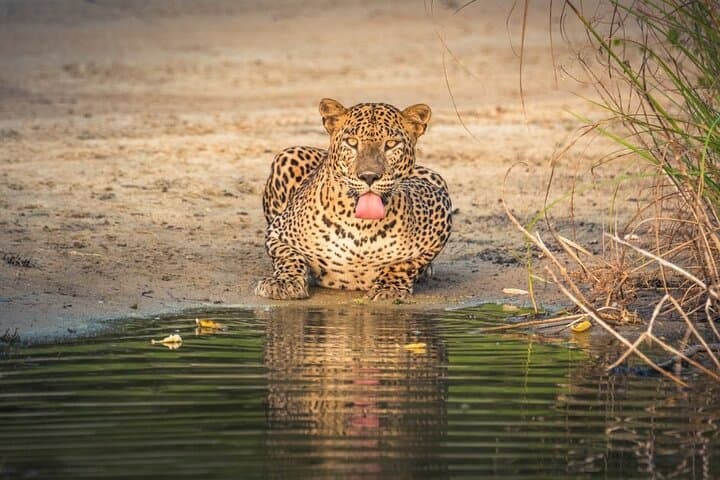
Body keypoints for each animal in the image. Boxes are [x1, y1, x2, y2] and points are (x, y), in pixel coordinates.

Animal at [255, 98, 452, 301]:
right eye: (351, 142)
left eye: (390, 144)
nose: (369, 176)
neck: (361, 226)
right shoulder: (277, 233)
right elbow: (289, 256)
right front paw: (283, 283)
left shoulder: (440, 208)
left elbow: (406, 264)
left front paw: (389, 288)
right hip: (288, 155)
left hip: (435, 177)